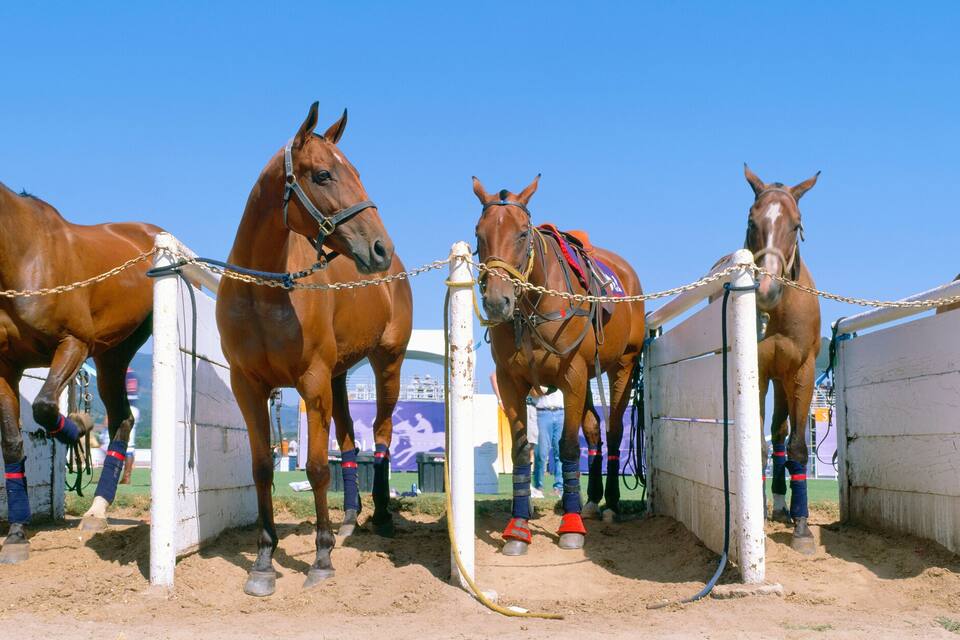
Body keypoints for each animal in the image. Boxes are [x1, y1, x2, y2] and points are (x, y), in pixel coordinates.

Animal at [0, 182, 160, 563]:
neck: (23, 256)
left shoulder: (74, 343)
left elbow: (44, 406)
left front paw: (80, 428)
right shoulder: (6, 367)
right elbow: (12, 444)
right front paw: (16, 533)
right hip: (111, 357)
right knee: (123, 419)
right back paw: (97, 510)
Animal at [215, 102, 412, 597]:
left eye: (357, 172)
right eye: (323, 175)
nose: (380, 248)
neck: (265, 291)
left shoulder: (311, 381)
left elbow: (318, 467)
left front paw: (321, 560)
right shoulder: (249, 386)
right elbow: (263, 468)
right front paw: (263, 563)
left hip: (387, 365)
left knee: (380, 435)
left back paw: (381, 517)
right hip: (340, 376)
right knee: (349, 440)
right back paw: (349, 519)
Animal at [472, 175, 645, 555]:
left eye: (523, 233)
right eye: (479, 233)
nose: (496, 301)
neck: (534, 304)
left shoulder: (573, 376)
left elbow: (567, 446)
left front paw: (571, 526)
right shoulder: (510, 381)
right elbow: (522, 450)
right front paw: (518, 528)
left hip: (622, 367)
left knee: (613, 430)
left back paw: (610, 504)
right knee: (594, 429)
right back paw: (592, 499)